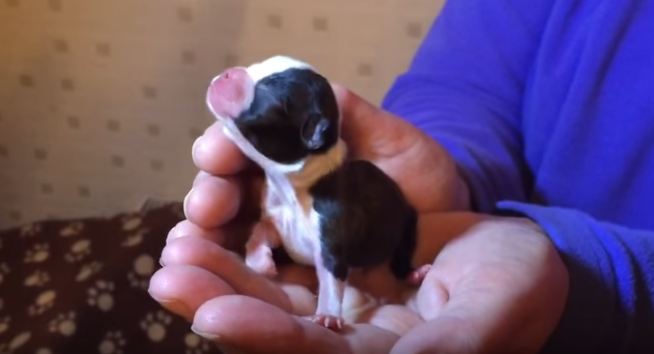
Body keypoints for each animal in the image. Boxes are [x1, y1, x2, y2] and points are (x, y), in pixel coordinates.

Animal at [206, 56, 420, 330]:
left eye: (269, 93)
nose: (228, 73)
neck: (294, 189)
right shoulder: (276, 220)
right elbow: (260, 231)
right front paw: (261, 262)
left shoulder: (331, 229)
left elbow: (331, 275)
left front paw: (328, 315)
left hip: (407, 222)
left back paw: (413, 273)